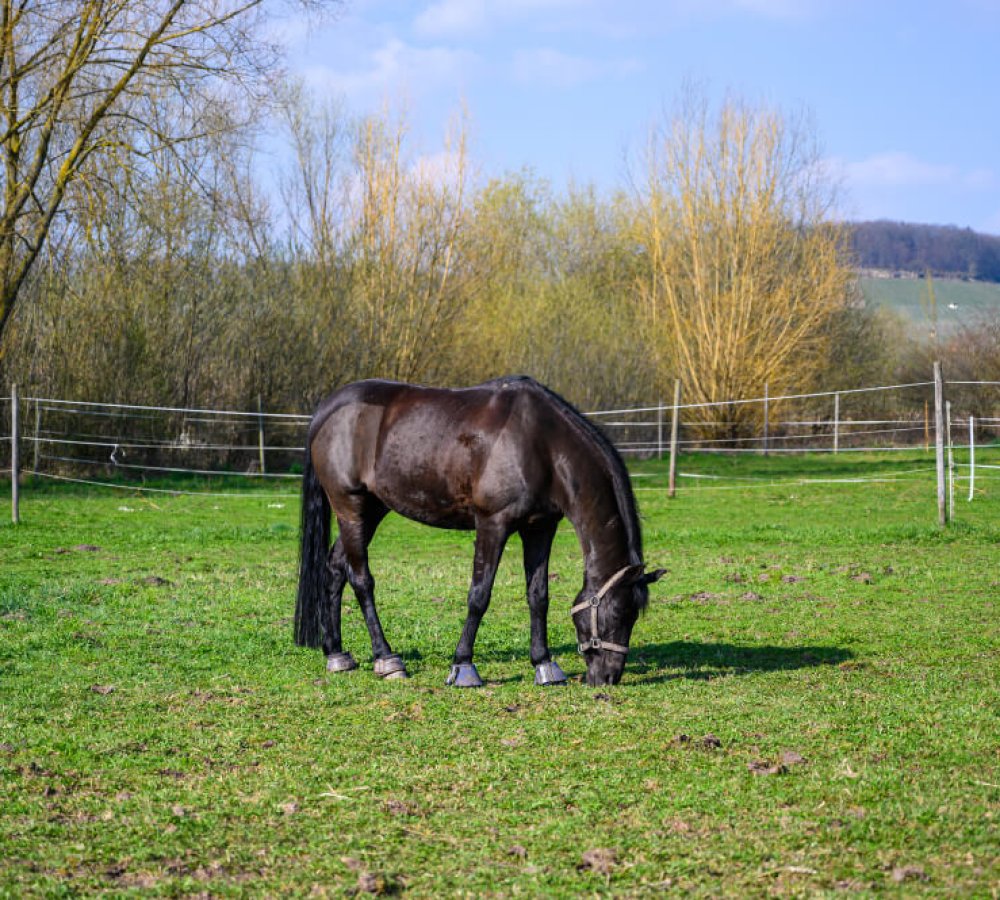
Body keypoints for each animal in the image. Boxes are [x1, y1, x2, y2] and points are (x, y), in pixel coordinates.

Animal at [292, 376, 660, 684]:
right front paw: (463, 665)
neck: (541, 444)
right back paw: (387, 659)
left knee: (335, 568)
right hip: (350, 506)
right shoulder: (492, 524)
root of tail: (326, 411)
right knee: (360, 579)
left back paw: (337, 654)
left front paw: (544, 663)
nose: (608, 678)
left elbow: (538, 596)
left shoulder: (540, 528)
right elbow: (479, 595)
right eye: (618, 613)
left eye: (634, 617)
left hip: (372, 509)